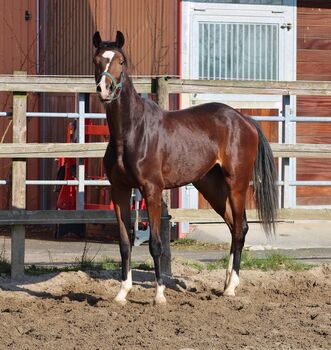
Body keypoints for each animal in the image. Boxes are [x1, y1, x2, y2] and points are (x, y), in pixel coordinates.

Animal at [92, 31, 278, 304]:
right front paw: (122, 292)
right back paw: (225, 284)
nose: (104, 89)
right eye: (97, 60)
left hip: (237, 183)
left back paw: (232, 287)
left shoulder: (152, 190)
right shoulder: (119, 191)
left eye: (121, 61)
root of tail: (244, 119)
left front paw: (159, 295)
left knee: (240, 229)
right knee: (234, 227)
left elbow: (156, 244)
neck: (131, 132)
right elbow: (125, 244)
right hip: (211, 186)